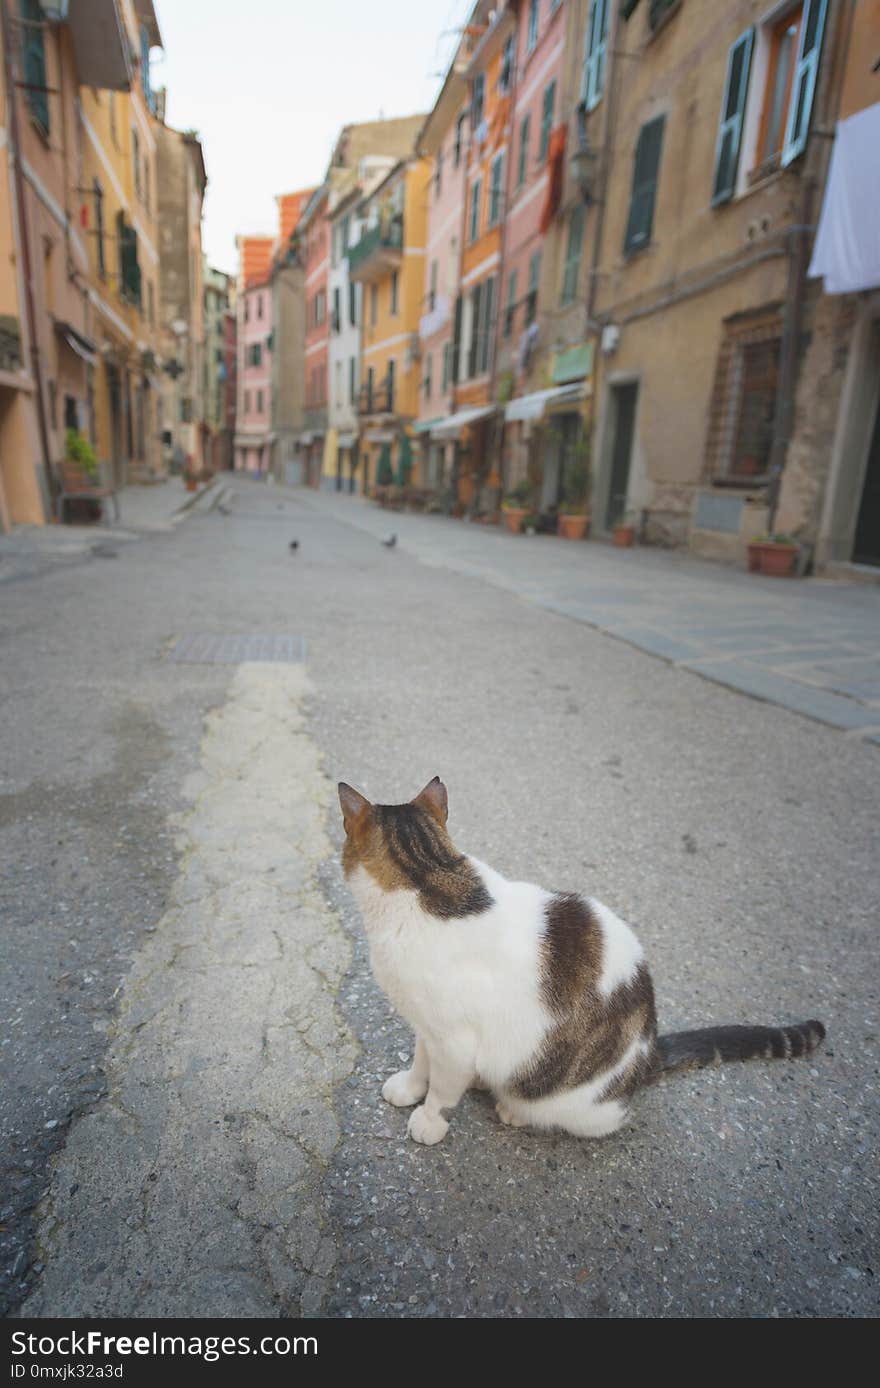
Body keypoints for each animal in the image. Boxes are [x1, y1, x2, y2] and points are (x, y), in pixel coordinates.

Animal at [335, 777, 821, 1143]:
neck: (428, 875)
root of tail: (648, 1052)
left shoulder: (453, 1039)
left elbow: (442, 1088)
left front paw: (430, 1120)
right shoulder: (427, 1024)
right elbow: (422, 1062)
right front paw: (410, 1087)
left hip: (581, 1104)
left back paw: (516, 1110)